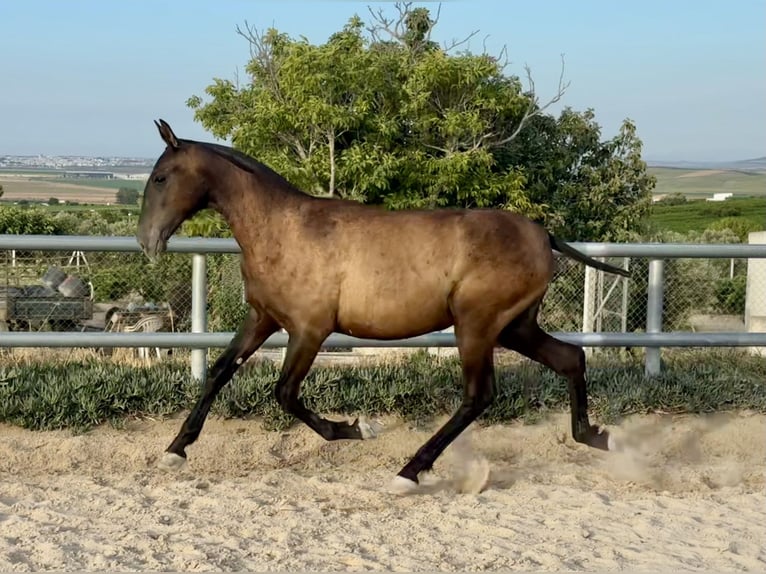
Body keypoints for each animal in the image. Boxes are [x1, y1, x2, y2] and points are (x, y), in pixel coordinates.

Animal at [137, 119, 628, 493]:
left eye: (160, 178)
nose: (145, 241)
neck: (284, 230)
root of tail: (543, 235)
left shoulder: (309, 329)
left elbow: (285, 393)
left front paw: (355, 429)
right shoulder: (263, 318)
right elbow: (220, 372)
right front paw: (175, 451)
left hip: (477, 325)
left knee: (479, 394)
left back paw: (408, 473)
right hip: (514, 327)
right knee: (570, 357)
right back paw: (598, 437)